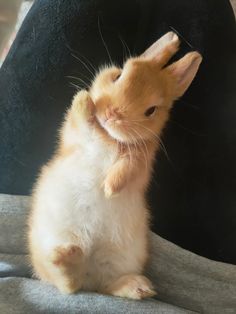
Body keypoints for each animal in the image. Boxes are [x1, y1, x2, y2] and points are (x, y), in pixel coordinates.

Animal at [27, 31, 201, 300]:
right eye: (118, 75)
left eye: (151, 110)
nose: (111, 115)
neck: (109, 136)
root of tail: (87, 277)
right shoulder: (74, 137)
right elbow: (82, 122)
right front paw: (83, 100)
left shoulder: (140, 163)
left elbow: (126, 168)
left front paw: (109, 188)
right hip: (48, 247)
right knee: (67, 285)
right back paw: (65, 257)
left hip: (119, 261)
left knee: (97, 285)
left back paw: (138, 287)